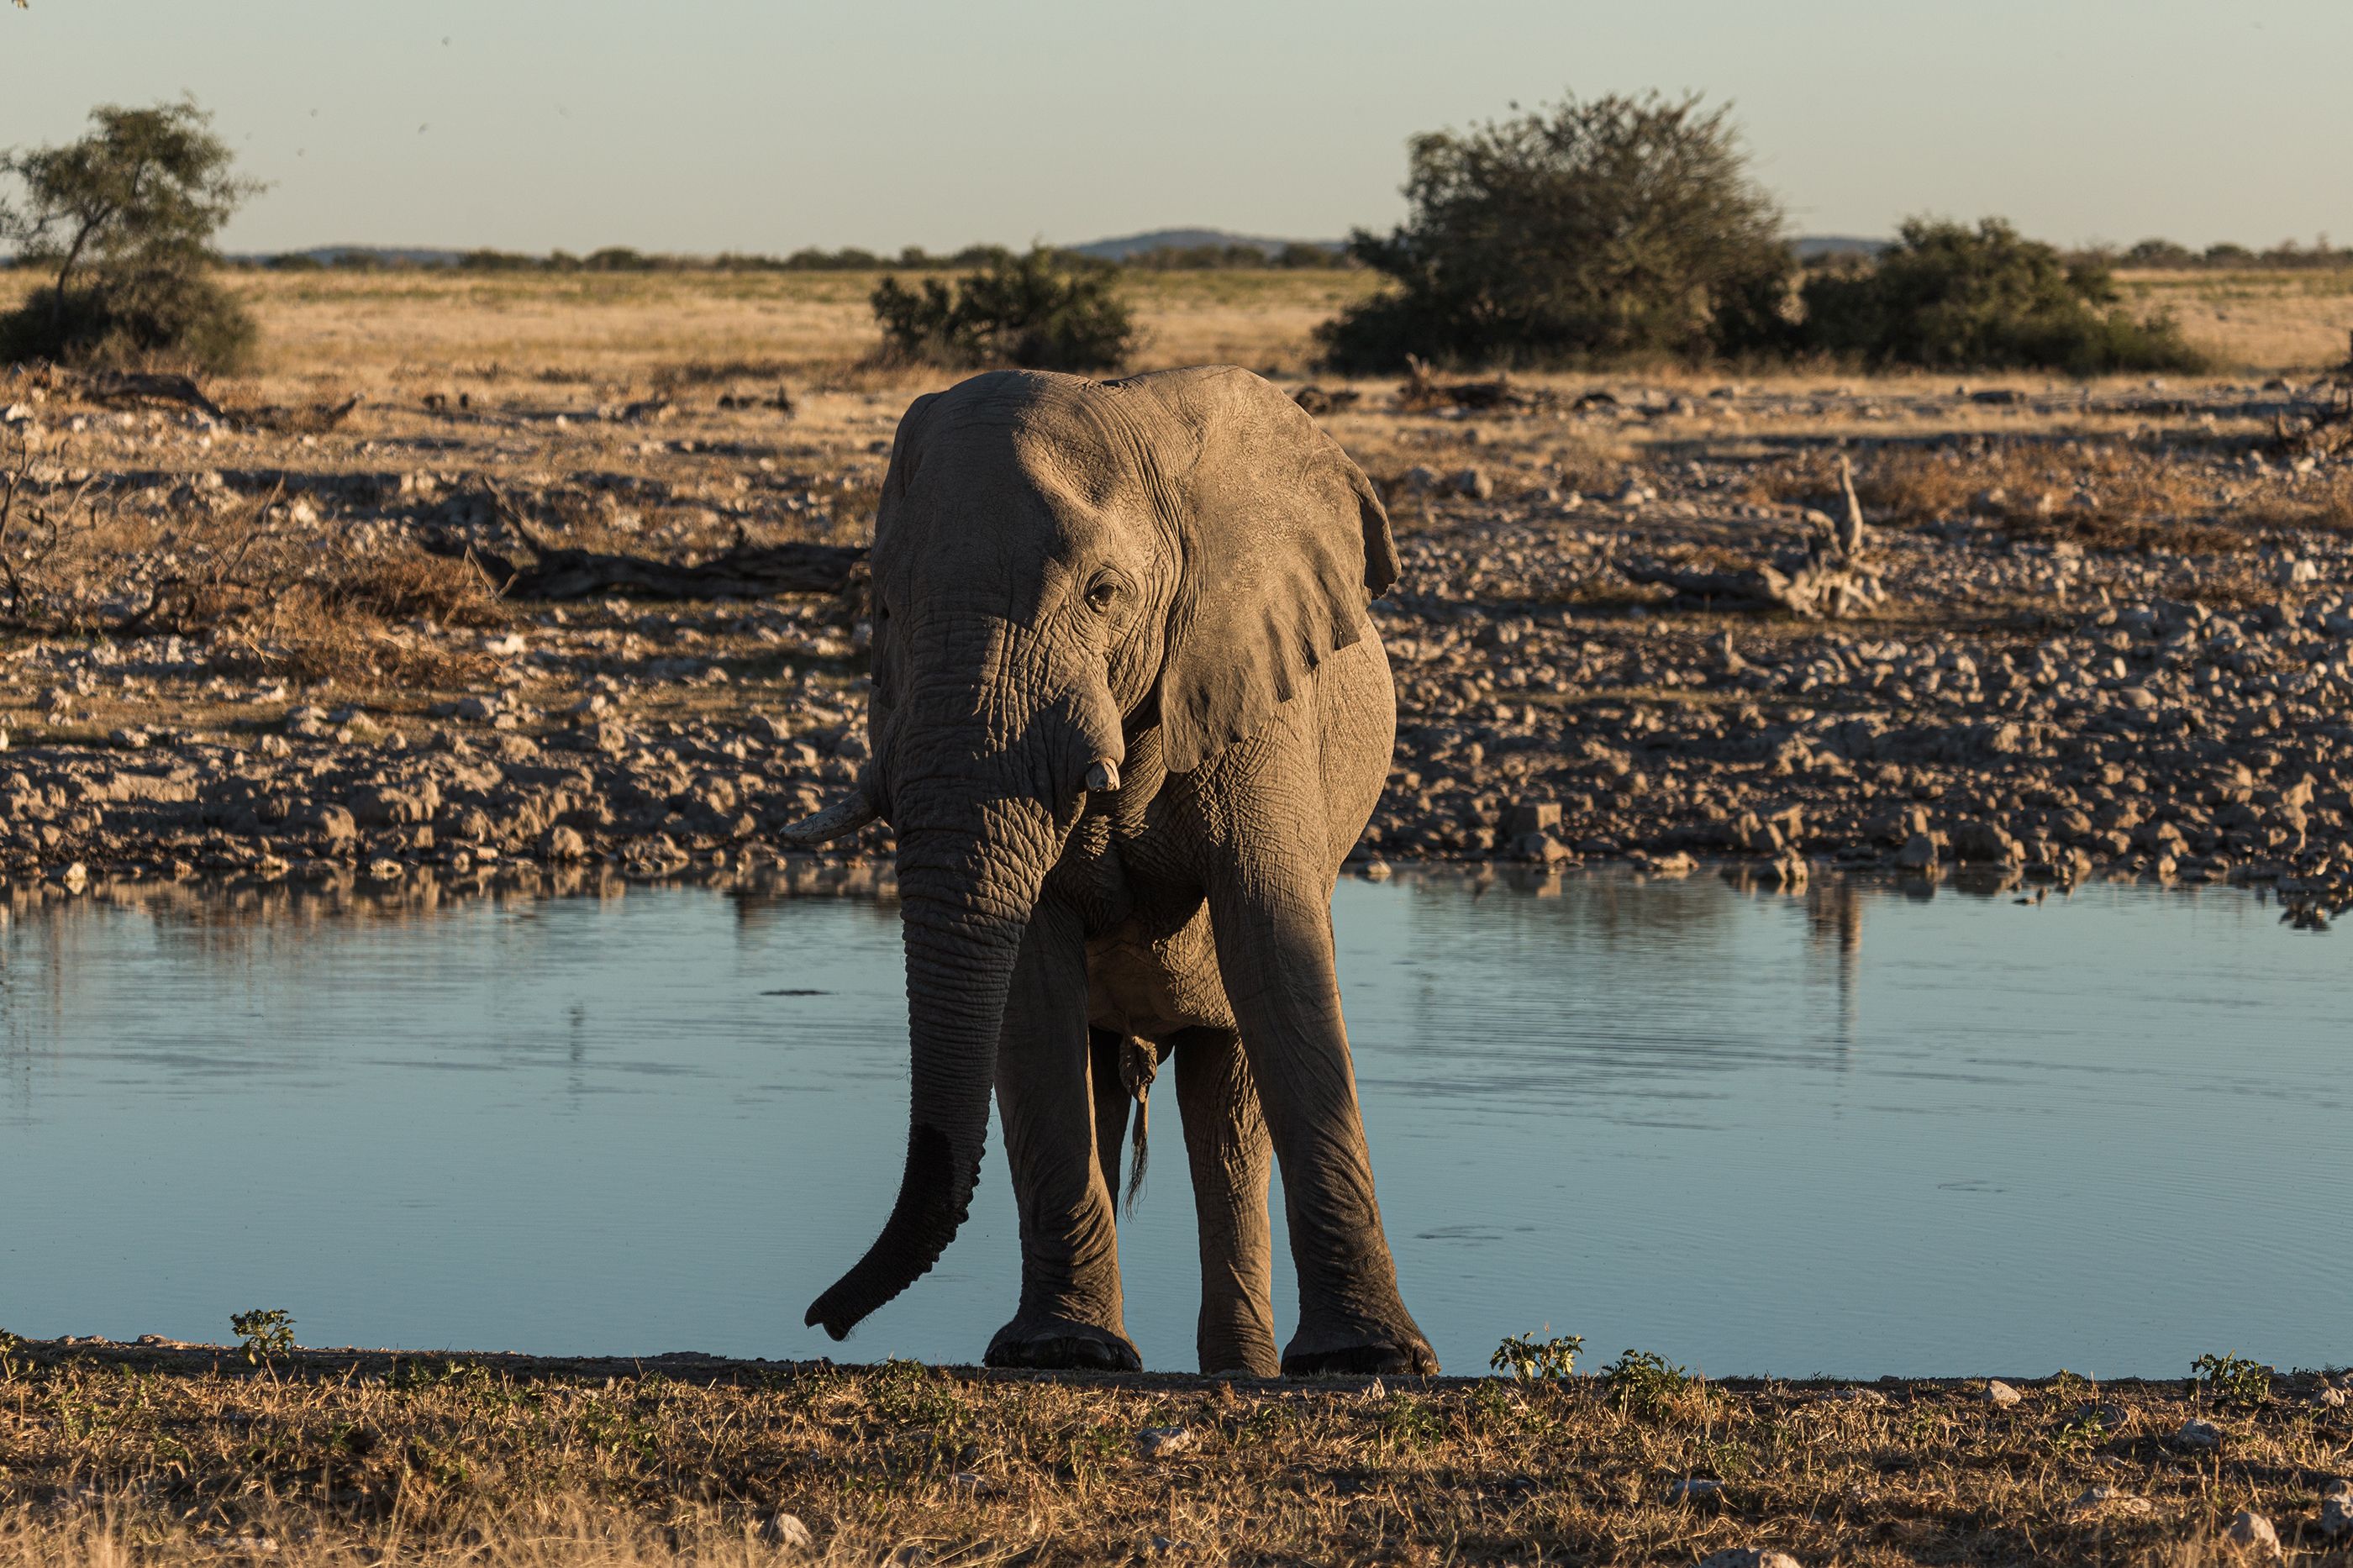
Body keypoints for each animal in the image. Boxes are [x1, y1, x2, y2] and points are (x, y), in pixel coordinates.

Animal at [782, 364, 1437, 1377]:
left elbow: (1274, 946)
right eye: (882, 610)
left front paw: (1371, 1361)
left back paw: (1243, 1370)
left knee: (1229, 1106)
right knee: (1099, 1078)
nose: (825, 1320)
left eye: (1101, 593)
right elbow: (1030, 988)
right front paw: (1063, 1352)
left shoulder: (1254, 692)